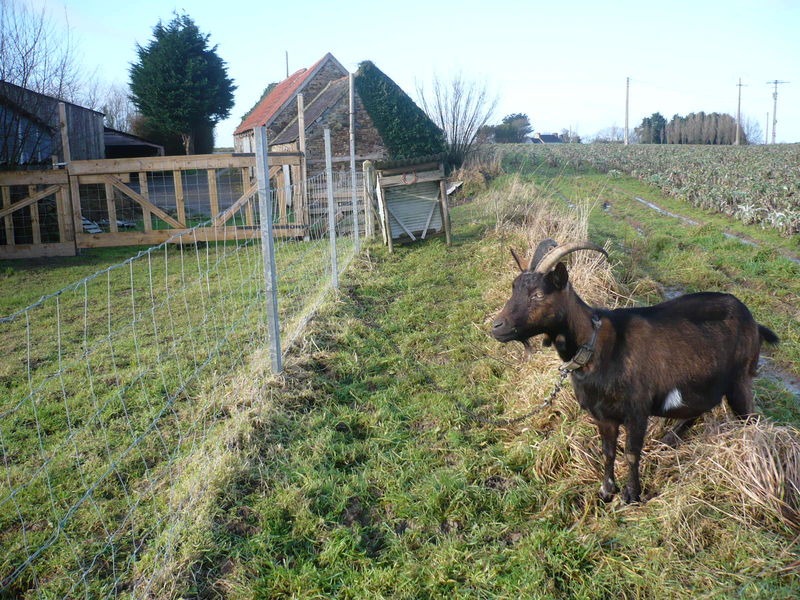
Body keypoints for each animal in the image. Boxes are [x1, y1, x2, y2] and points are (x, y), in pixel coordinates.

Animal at [490, 239, 780, 502]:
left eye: (538, 294)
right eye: (514, 288)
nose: (497, 326)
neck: (596, 345)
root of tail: (754, 323)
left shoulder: (637, 410)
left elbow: (631, 452)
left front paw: (632, 494)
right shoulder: (603, 414)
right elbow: (607, 451)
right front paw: (607, 491)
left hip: (740, 379)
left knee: (749, 419)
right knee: (702, 408)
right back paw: (670, 439)